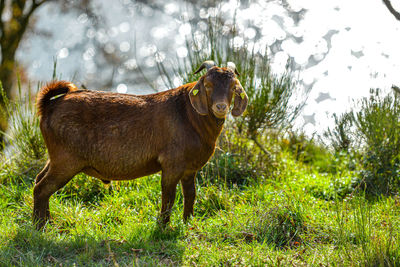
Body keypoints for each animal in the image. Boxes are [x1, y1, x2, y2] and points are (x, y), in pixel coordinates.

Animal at [33, 61, 247, 229]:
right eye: (208, 85)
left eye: (233, 86)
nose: (221, 107)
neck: (189, 115)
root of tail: (49, 106)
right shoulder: (172, 164)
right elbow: (168, 197)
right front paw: (163, 227)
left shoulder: (189, 169)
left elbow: (190, 195)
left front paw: (188, 223)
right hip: (66, 161)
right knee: (42, 189)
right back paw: (40, 227)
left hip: (55, 159)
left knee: (38, 180)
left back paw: (47, 221)